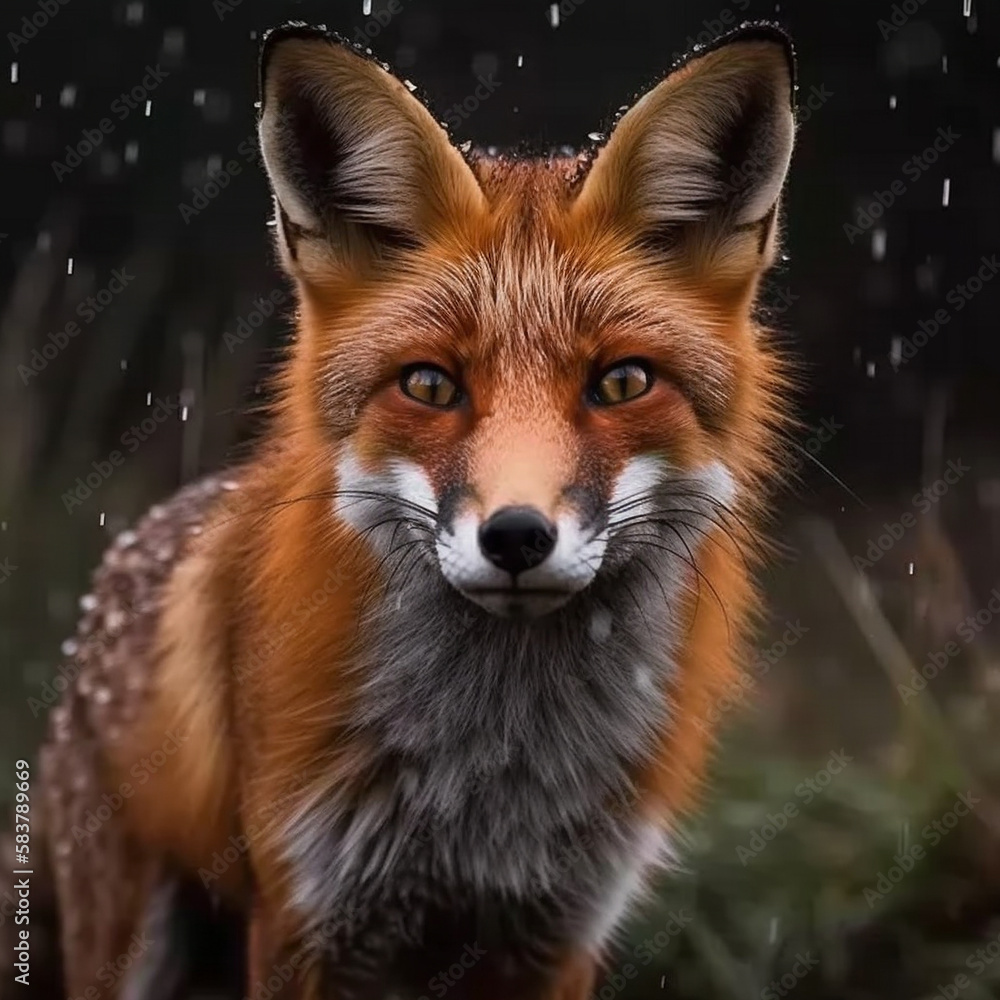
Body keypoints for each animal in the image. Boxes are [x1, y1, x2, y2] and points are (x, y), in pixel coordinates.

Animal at [37, 21, 797, 1000]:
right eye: (430, 385)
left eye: (622, 382)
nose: (516, 535)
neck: (490, 787)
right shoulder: (305, 917)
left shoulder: (556, 931)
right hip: (133, 943)